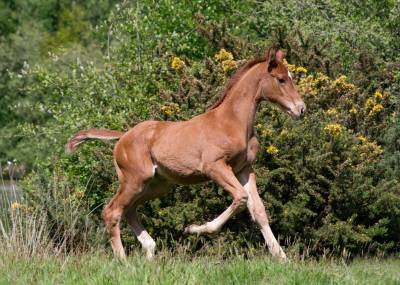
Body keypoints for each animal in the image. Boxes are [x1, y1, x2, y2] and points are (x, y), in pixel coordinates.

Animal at [68, 46, 306, 260]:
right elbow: (240, 197)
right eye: (281, 79)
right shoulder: (214, 167)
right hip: (134, 180)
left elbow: (258, 210)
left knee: (129, 209)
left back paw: (149, 252)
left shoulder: (244, 169)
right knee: (112, 212)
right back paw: (123, 262)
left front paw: (281, 257)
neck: (232, 122)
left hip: (157, 185)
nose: (301, 109)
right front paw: (192, 229)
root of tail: (123, 136)